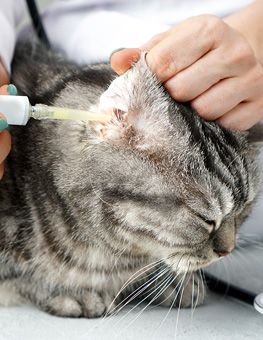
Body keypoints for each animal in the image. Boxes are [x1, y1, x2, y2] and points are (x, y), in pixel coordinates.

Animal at [0, 41, 262, 316]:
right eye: (205, 219)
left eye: (244, 210)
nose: (226, 251)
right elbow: (19, 278)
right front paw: (72, 292)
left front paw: (172, 282)